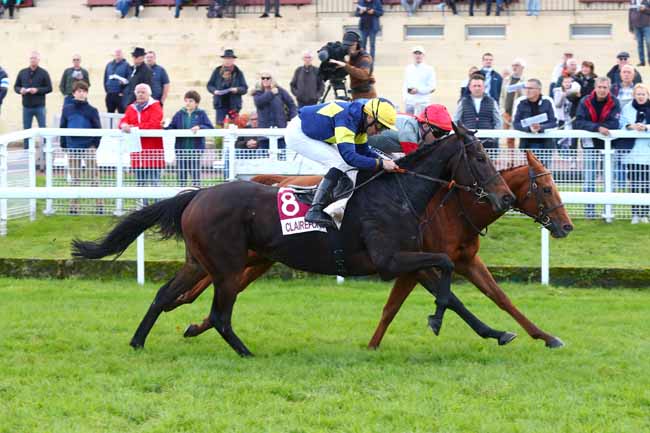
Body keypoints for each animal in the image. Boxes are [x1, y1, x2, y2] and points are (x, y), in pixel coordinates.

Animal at [73, 121, 512, 354]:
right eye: (479, 157)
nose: (505, 197)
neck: (397, 192)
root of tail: (197, 194)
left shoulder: (409, 259)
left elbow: (452, 295)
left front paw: (495, 332)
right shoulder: (391, 260)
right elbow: (445, 269)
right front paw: (437, 319)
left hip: (200, 261)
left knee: (165, 295)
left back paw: (137, 342)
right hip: (227, 266)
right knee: (220, 314)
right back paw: (247, 354)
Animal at [173, 152, 572, 348]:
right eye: (546, 189)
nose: (566, 226)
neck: (451, 207)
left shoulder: (466, 260)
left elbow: (501, 298)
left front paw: (543, 336)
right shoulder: (415, 265)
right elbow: (408, 305)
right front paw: (374, 344)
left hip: (262, 257)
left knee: (222, 283)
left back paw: (195, 321)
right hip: (252, 256)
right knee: (214, 282)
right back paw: (190, 316)